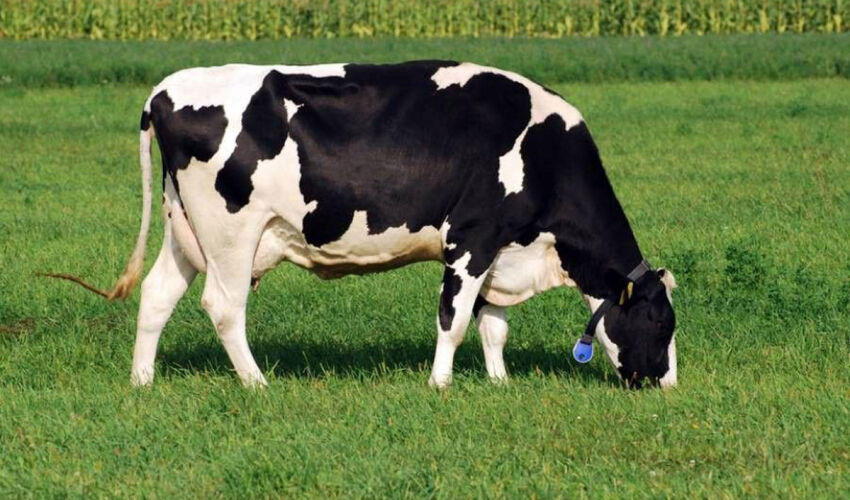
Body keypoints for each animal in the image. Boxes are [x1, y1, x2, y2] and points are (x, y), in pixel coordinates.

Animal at [56, 61, 678, 389]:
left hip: (184, 228)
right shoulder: (472, 237)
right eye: (660, 321)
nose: (666, 385)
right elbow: (454, 320)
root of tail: (168, 87)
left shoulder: (501, 250)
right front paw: (440, 385)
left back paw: (142, 381)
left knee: (158, 294)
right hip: (230, 230)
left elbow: (492, 325)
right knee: (223, 306)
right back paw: (257, 384)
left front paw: (499, 383)